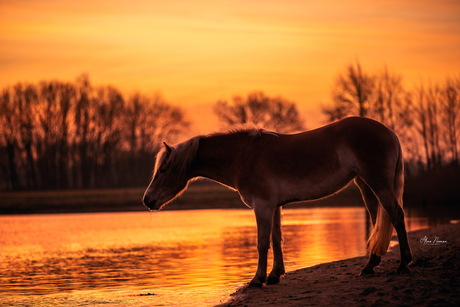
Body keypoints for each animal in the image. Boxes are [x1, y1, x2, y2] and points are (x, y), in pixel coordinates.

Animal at [143, 116, 414, 288]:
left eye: (164, 169)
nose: (148, 200)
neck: (243, 157)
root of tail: (390, 132)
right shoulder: (274, 206)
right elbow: (276, 238)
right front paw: (274, 275)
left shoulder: (262, 206)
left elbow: (262, 243)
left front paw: (257, 279)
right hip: (365, 186)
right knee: (378, 220)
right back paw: (370, 266)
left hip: (377, 183)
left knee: (396, 215)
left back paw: (403, 264)